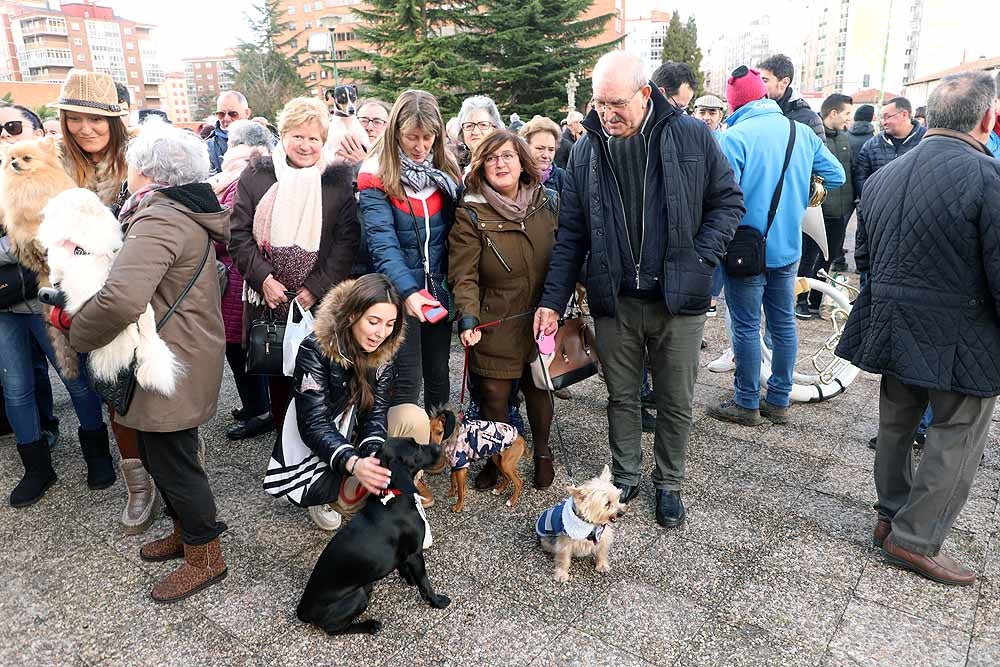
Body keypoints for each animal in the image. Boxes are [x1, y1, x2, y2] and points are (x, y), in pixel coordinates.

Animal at [296, 438, 450, 636]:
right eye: (415, 447)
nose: (439, 447)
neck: (392, 496)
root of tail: (303, 610)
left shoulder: (405, 555)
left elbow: (404, 567)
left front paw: (408, 578)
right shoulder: (416, 554)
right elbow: (424, 583)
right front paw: (436, 601)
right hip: (358, 595)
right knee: (333, 629)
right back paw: (370, 625)